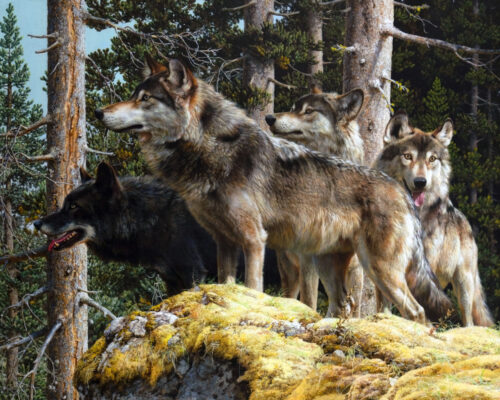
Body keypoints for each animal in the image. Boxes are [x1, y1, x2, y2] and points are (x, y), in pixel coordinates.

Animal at [264, 90, 366, 316]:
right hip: (290, 269)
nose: (269, 118)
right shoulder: (308, 261)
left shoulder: (357, 268)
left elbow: (354, 309)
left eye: (309, 111)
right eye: (293, 108)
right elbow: (309, 301)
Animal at [376, 111, 492, 326]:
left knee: (468, 318)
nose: (421, 182)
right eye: (407, 156)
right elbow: (384, 303)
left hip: (463, 284)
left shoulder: (422, 269)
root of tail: (463, 219)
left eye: (432, 159)